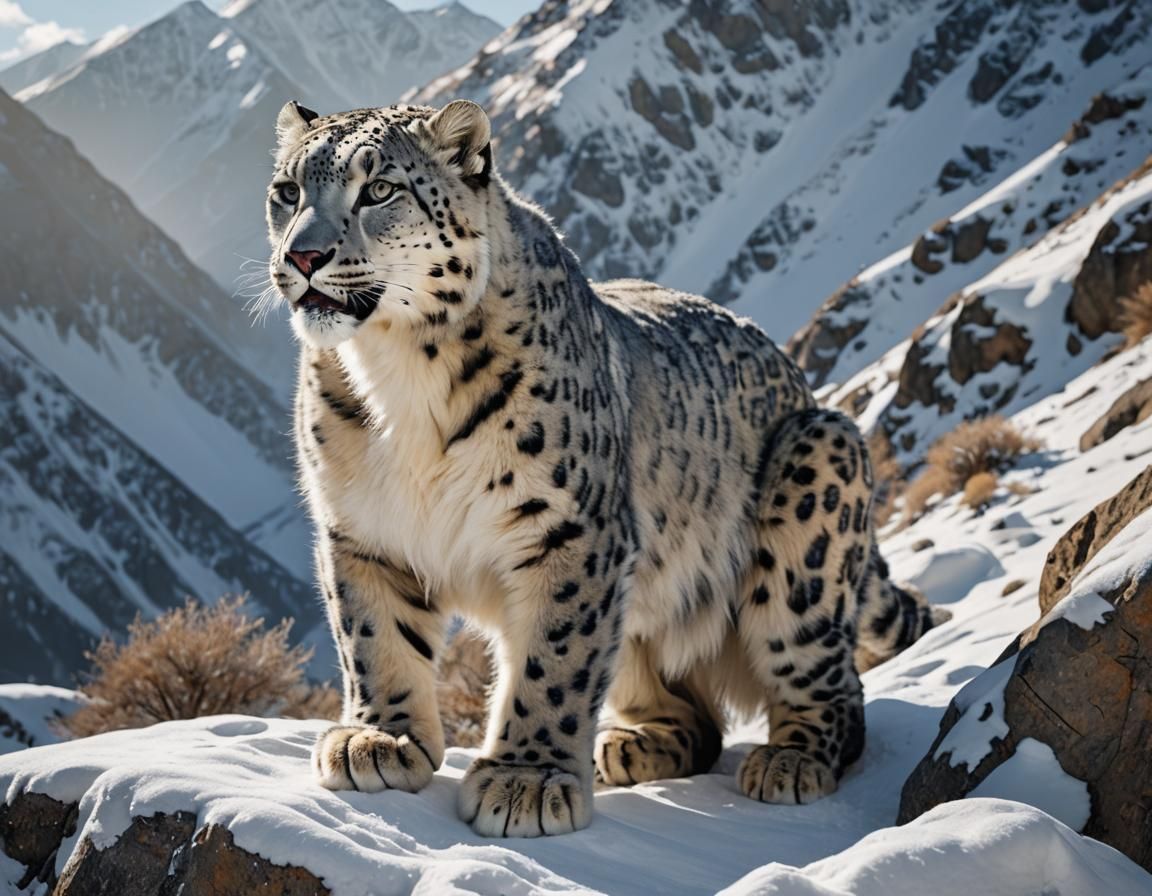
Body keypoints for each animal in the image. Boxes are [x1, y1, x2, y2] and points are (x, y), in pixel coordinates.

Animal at [265, 99, 948, 838]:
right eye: (287, 192)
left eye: (381, 190)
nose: (302, 255)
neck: (399, 379)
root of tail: (802, 386)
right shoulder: (363, 530)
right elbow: (374, 637)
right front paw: (382, 739)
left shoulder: (569, 529)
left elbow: (554, 656)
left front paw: (526, 777)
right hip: (642, 612)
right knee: (694, 718)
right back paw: (627, 746)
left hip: (811, 508)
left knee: (836, 686)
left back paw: (790, 761)